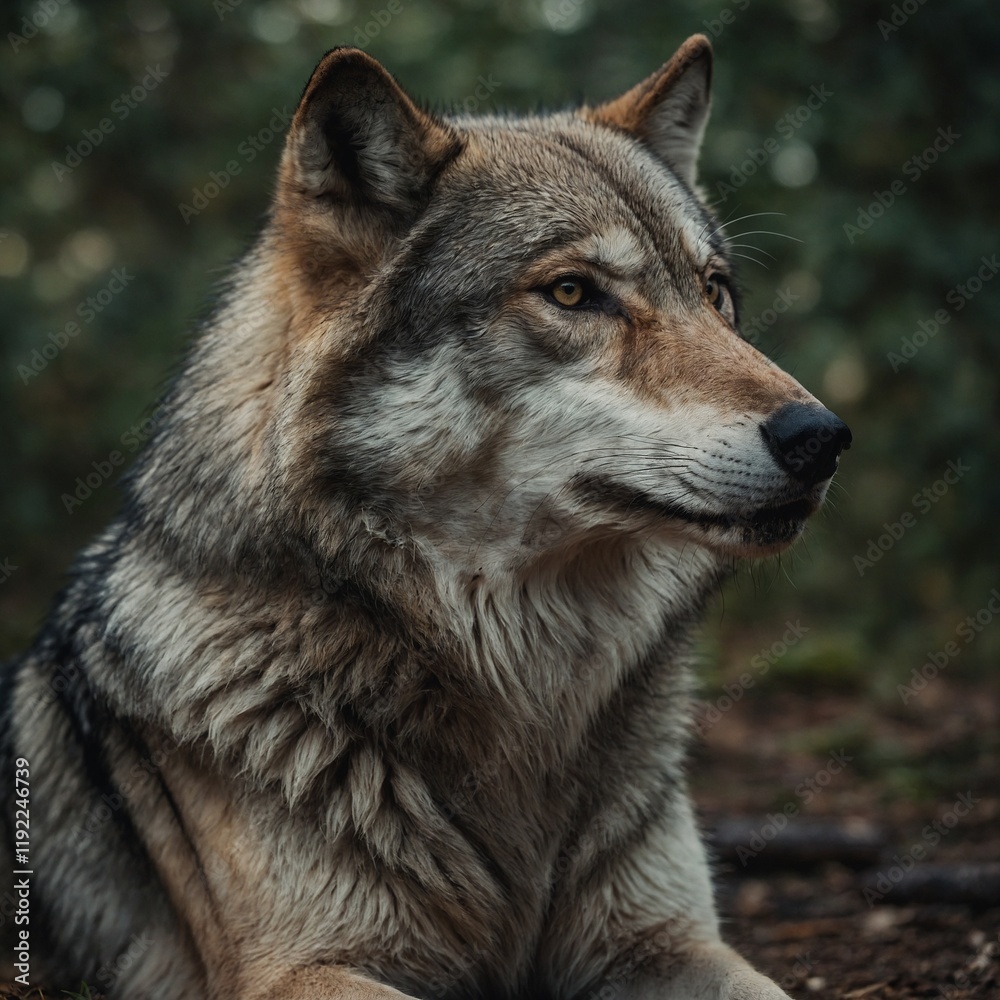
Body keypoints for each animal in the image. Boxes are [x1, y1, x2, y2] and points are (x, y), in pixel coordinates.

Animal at [1, 34, 850, 1000]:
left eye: (714, 293)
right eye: (572, 293)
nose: (822, 437)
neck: (523, 688)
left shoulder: (665, 944)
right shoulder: (301, 970)